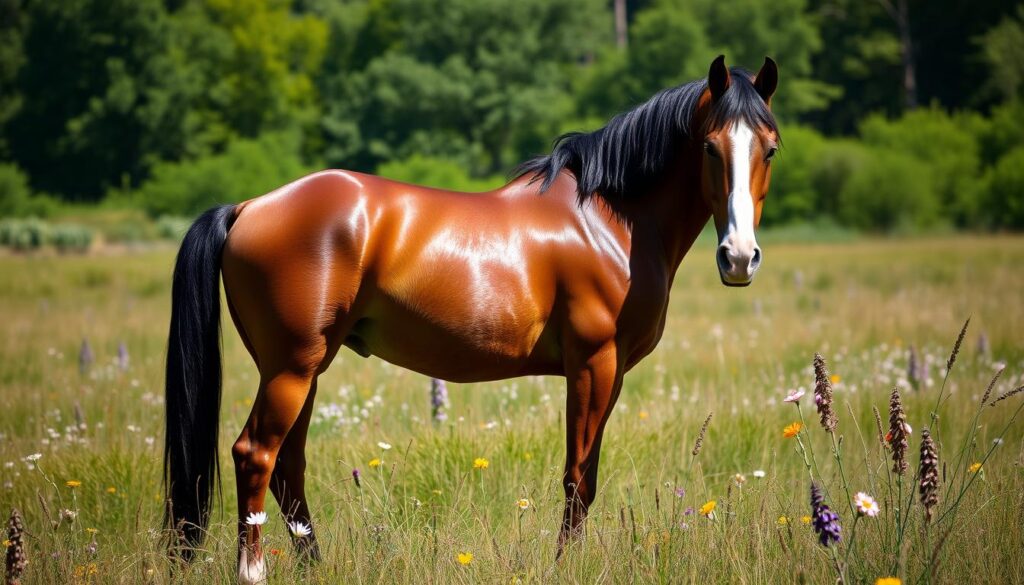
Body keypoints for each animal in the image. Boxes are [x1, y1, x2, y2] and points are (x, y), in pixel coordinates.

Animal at [163, 53, 778, 581]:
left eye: (769, 149)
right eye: (709, 147)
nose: (739, 257)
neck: (609, 220)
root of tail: (248, 207)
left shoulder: (609, 371)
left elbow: (586, 474)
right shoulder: (594, 364)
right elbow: (578, 478)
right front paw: (565, 567)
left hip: (302, 368)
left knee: (289, 466)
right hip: (290, 368)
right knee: (256, 455)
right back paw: (253, 570)